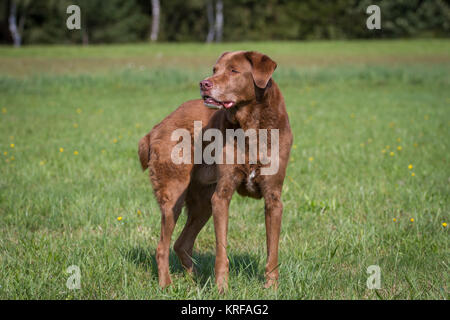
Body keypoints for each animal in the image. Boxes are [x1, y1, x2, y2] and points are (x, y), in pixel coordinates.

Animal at [137, 50, 292, 292]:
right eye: (215, 69)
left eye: (234, 70)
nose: (204, 83)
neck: (250, 123)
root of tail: (155, 129)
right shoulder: (221, 196)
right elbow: (222, 249)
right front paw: (221, 288)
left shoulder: (274, 199)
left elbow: (272, 251)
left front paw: (272, 288)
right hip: (174, 196)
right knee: (162, 246)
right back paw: (167, 286)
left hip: (202, 203)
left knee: (181, 244)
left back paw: (194, 279)